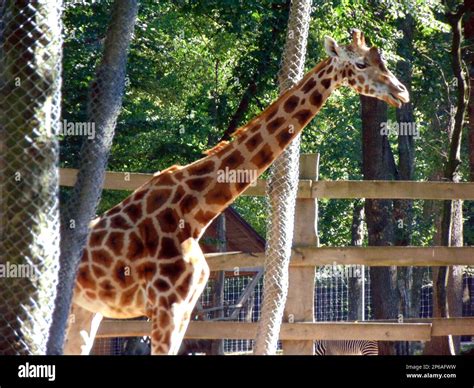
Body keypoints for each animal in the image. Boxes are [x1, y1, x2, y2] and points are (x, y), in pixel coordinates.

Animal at [65, 31, 410, 354]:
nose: (402, 92)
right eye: (361, 64)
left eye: (382, 60)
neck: (195, 211)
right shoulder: (168, 306)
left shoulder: (184, 308)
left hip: (85, 310)